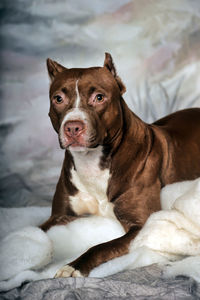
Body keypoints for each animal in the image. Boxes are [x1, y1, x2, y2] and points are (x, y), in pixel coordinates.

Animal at [39, 52, 200, 278]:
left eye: (99, 97)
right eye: (58, 99)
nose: (72, 127)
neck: (92, 162)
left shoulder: (141, 226)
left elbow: (100, 247)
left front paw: (73, 267)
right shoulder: (59, 216)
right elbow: (37, 230)